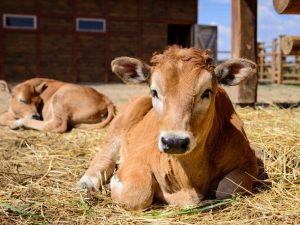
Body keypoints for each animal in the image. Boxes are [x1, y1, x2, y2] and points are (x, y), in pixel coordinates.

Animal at [78, 46, 260, 210]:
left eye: (206, 92)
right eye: (154, 92)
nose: (174, 142)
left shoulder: (249, 161)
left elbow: (226, 190)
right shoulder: (137, 157)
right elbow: (137, 194)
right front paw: (115, 181)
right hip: (119, 125)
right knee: (104, 157)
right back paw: (86, 183)